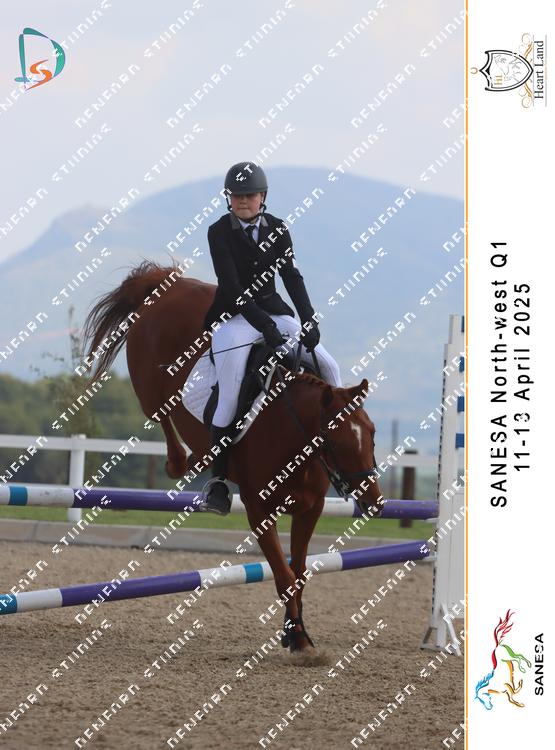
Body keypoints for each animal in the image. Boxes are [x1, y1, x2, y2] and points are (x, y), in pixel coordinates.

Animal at [82, 261, 383, 652]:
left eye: (372, 436)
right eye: (334, 442)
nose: (375, 502)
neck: (291, 435)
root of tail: (168, 284)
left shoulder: (310, 508)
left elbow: (299, 572)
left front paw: (295, 632)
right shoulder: (259, 510)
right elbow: (284, 575)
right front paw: (299, 640)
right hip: (150, 389)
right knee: (161, 414)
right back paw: (183, 463)